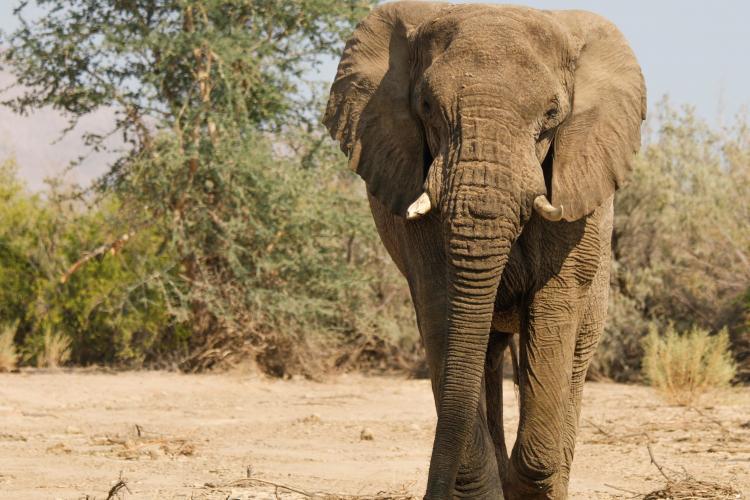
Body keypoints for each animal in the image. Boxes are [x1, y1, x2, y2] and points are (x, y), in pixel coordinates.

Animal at [323, 2, 645, 499]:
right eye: (426, 107)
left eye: (552, 113)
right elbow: (443, 312)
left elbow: (553, 311)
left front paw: (528, 479)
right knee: (486, 354)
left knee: (572, 357)